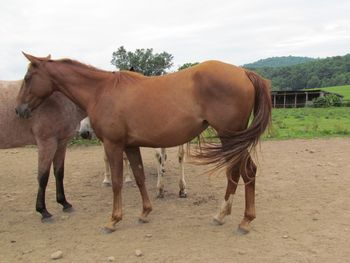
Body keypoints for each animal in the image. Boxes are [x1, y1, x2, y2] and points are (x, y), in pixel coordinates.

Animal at [1, 79, 86, 221]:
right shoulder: (47, 143)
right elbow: (43, 177)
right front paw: (43, 210)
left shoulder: (61, 143)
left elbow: (59, 173)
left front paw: (64, 203)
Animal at [16, 53, 272, 235]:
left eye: (27, 78)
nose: (19, 110)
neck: (101, 91)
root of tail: (244, 72)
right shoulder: (130, 146)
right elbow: (139, 177)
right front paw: (145, 212)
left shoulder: (113, 145)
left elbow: (117, 182)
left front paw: (113, 220)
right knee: (242, 172)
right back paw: (229, 216)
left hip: (230, 136)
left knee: (244, 171)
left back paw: (238, 219)